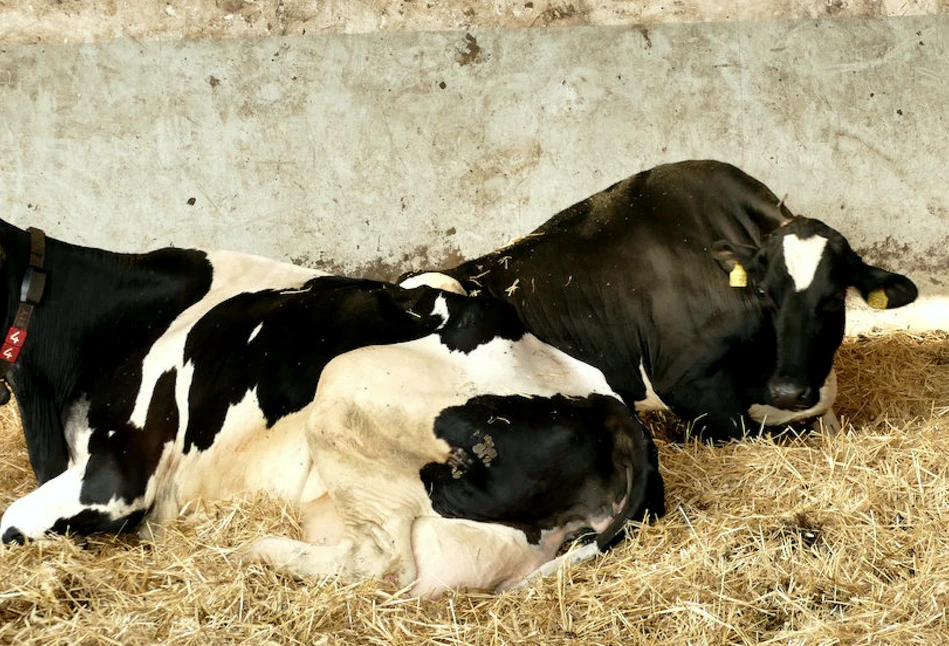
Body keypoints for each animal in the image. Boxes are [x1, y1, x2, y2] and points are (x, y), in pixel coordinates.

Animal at [0, 219, 664, 596]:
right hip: (431, 288)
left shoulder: (115, 478)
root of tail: (613, 407)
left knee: (384, 563)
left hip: (348, 384)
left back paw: (259, 551)